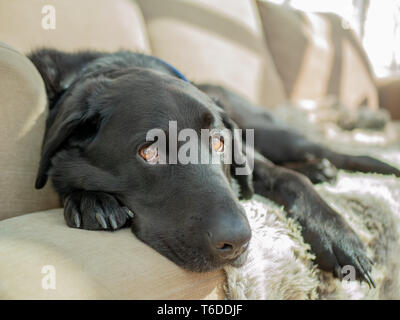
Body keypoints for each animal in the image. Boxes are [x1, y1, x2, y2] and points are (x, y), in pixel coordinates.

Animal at [28, 49, 400, 288]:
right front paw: (90, 200)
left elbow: (288, 178)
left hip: (271, 133)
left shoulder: (248, 154)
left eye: (220, 143)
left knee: (331, 150)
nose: (237, 242)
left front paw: (336, 235)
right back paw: (321, 170)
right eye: (149, 151)